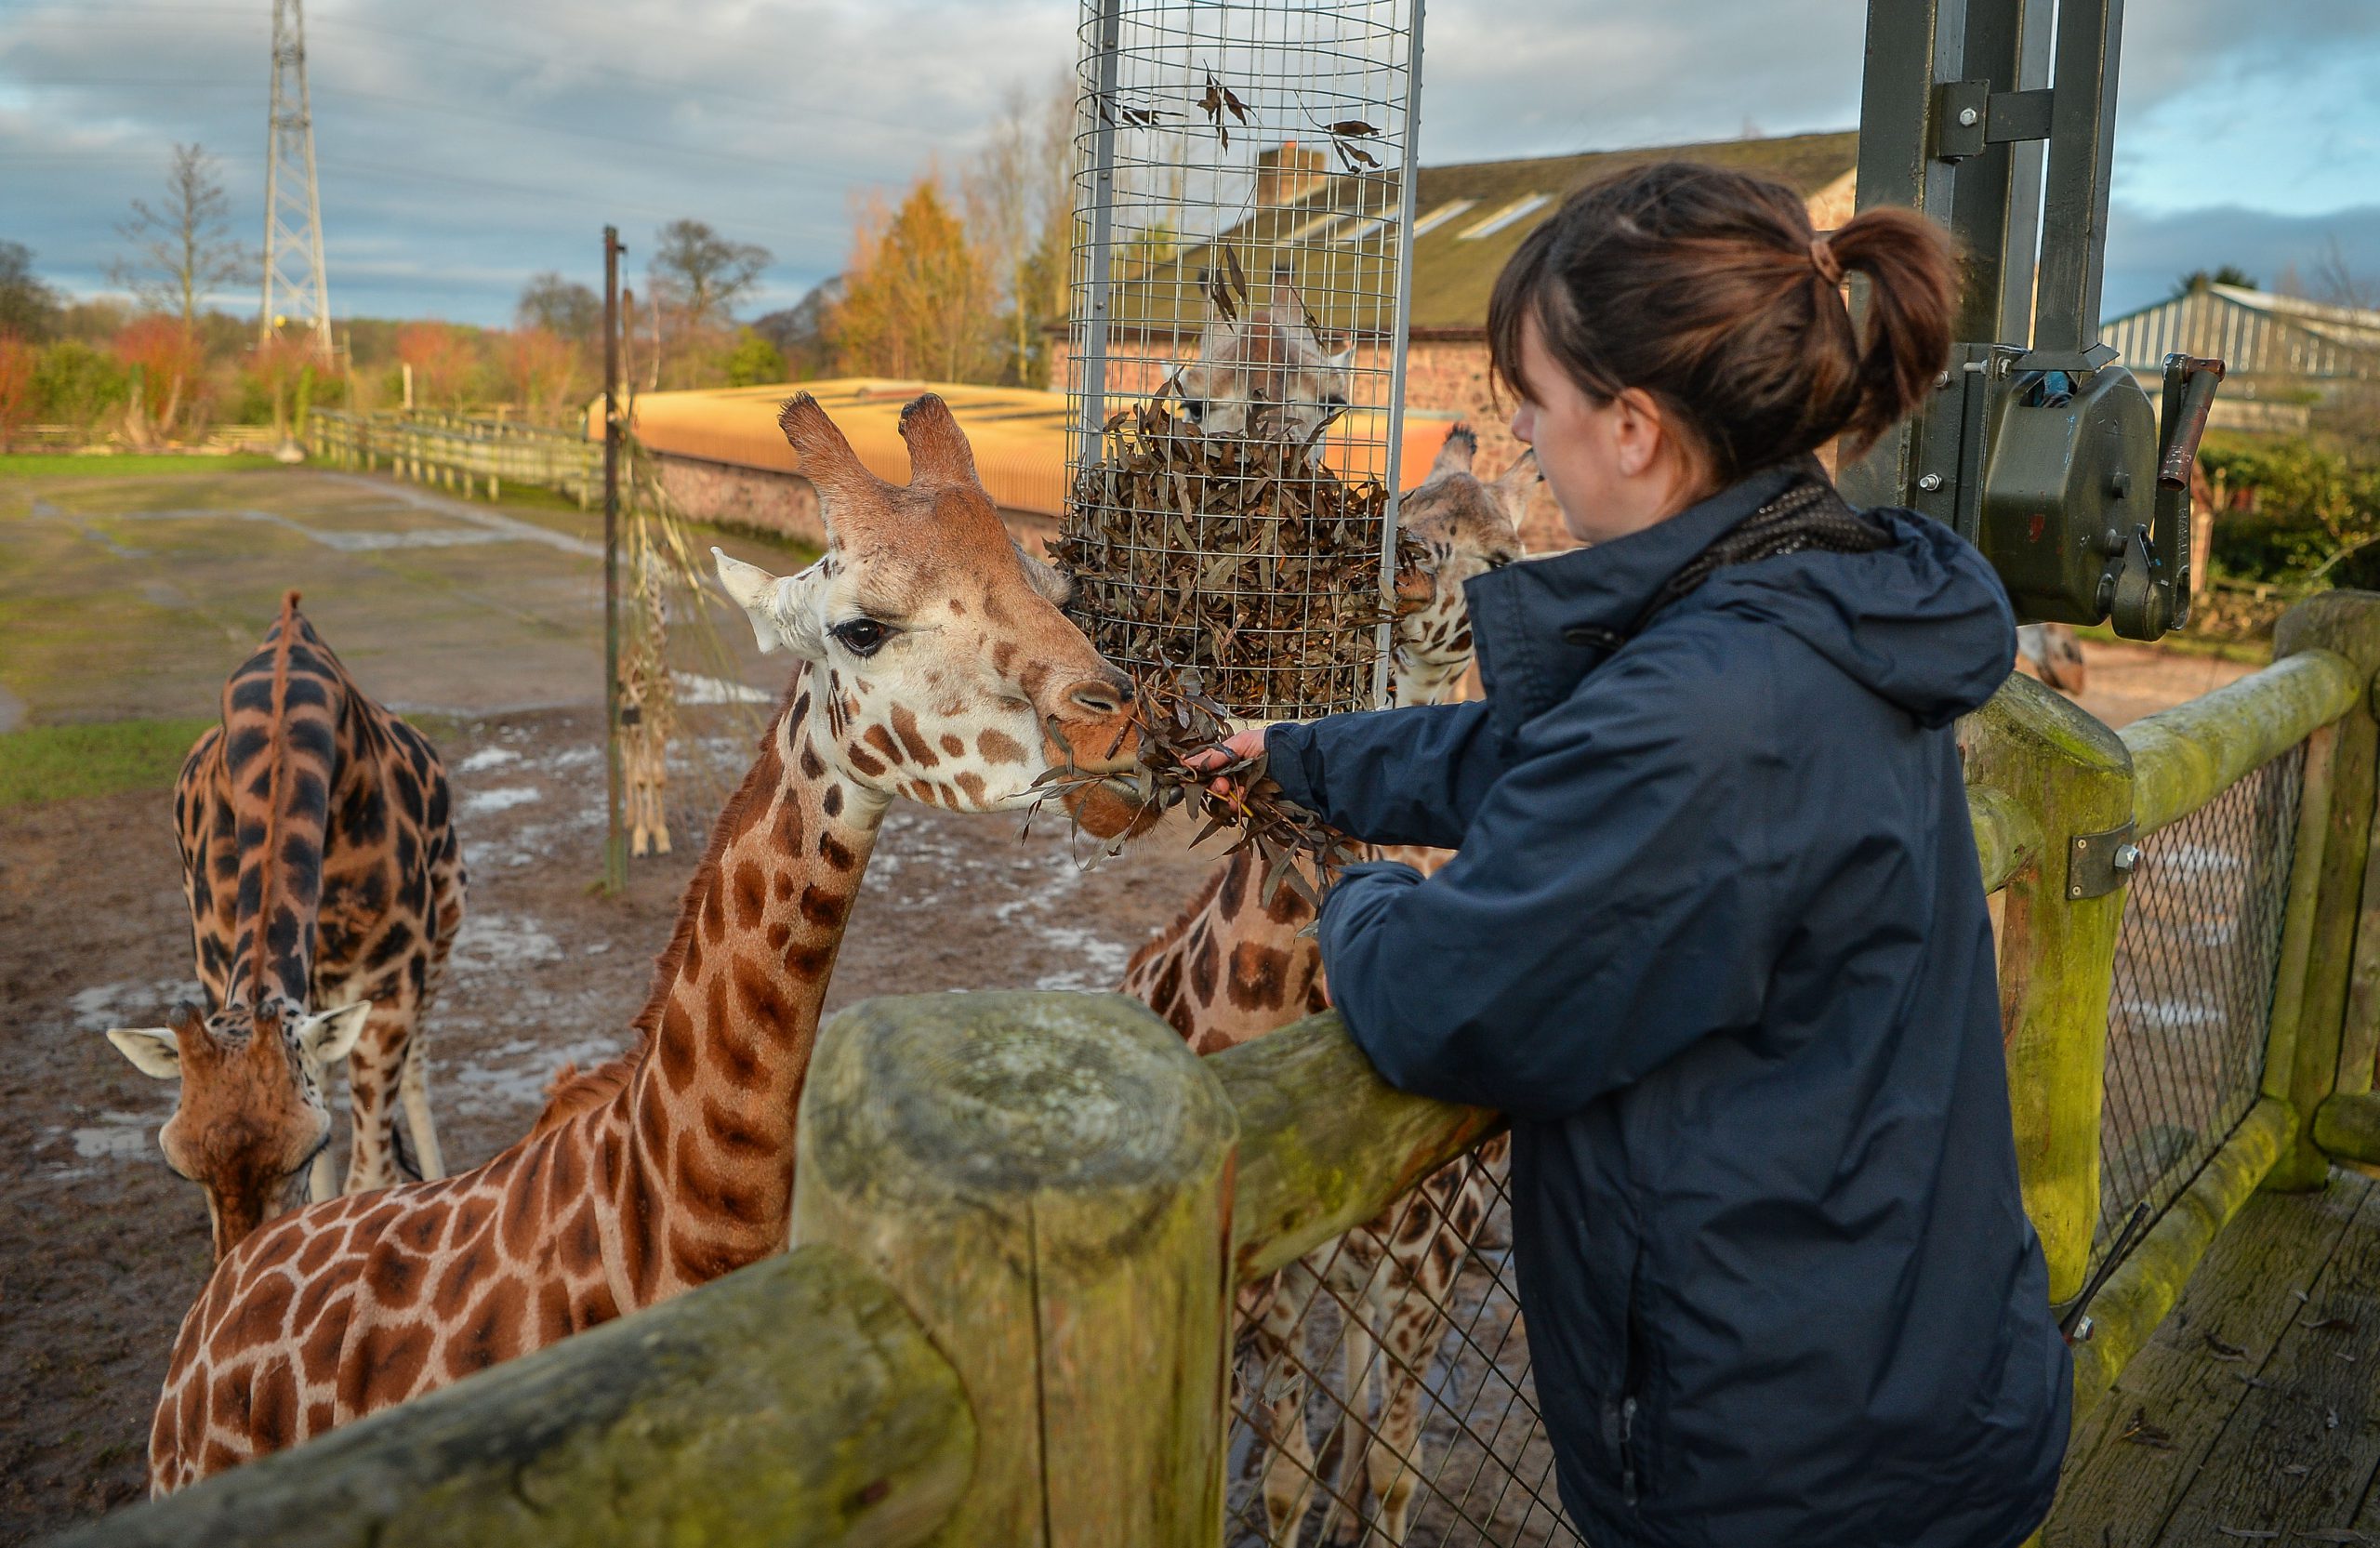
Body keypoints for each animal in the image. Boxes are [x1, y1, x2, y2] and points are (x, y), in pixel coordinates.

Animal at [104, 590, 466, 1257]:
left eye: (305, 1149)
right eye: (181, 1165)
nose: (238, 1266)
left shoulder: (390, 984)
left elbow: (369, 1174)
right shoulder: (218, 972)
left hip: (445, 928)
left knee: (419, 1069)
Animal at [1123, 423, 1532, 1542]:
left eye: (1504, 556)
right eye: (1411, 503)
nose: (1406, 567)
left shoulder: (1420, 1268)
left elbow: (1393, 1468)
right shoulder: (1274, 1273)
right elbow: (1275, 1476)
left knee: (1371, 1424)